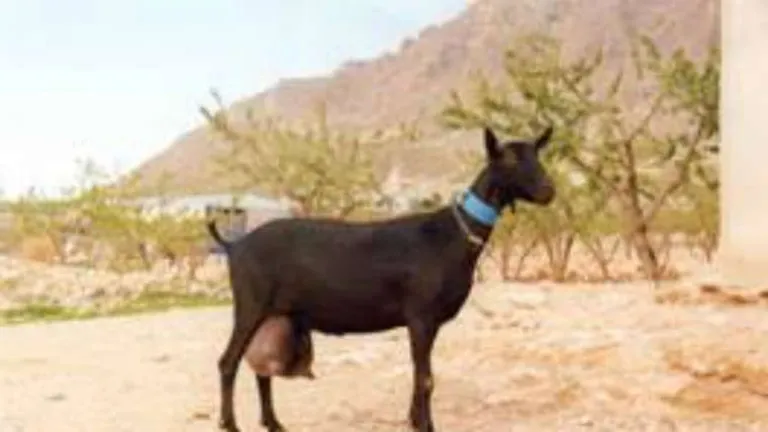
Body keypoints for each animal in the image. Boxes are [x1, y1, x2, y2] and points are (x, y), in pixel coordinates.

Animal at [208, 126, 557, 432]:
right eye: (507, 159)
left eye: (537, 156)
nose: (548, 191)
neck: (455, 234)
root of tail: (234, 245)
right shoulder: (420, 316)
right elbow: (426, 378)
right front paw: (424, 426)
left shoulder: (427, 322)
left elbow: (421, 375)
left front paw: (416, 421)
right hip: (250, 305)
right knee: (229, 362)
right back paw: (231, 424)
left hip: (272, 312)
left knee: (261, 368)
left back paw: (273, 422)